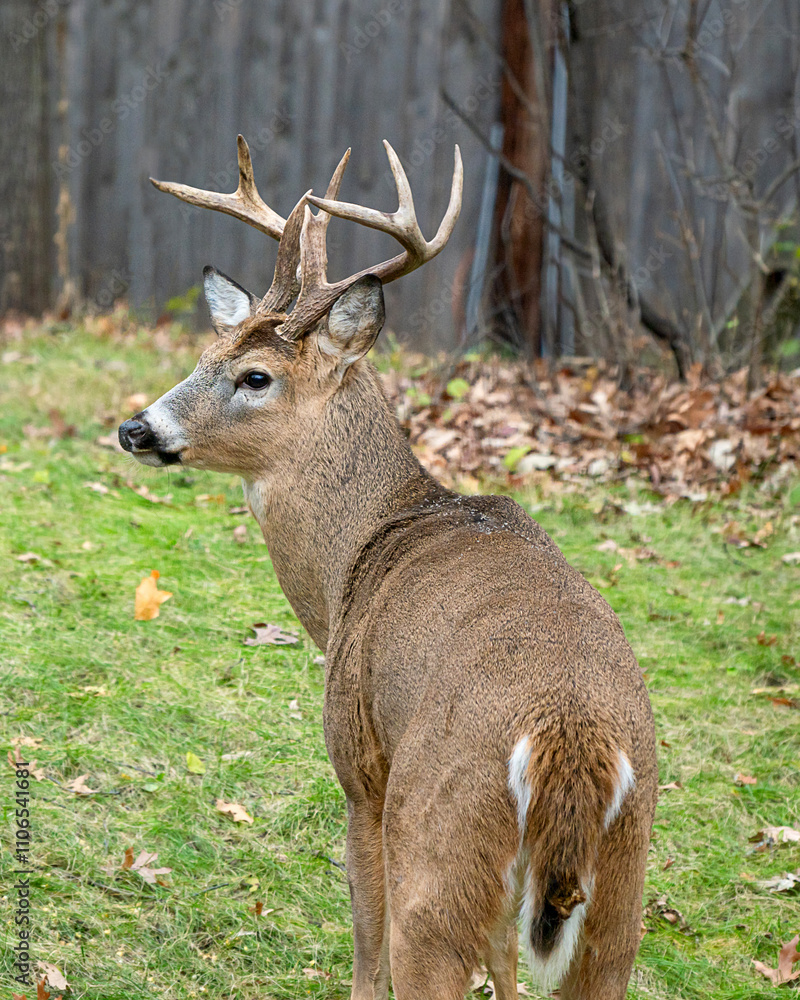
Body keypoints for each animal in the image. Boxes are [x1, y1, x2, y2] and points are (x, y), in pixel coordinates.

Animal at [119, 135, 657, 1000]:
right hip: (620, 894)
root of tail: (567, 745)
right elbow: (504, 962)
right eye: (205, 354)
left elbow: (364, 944)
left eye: (256, 376)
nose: (137, 428)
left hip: (435, 840)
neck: (358, 557)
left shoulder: (360, 765)